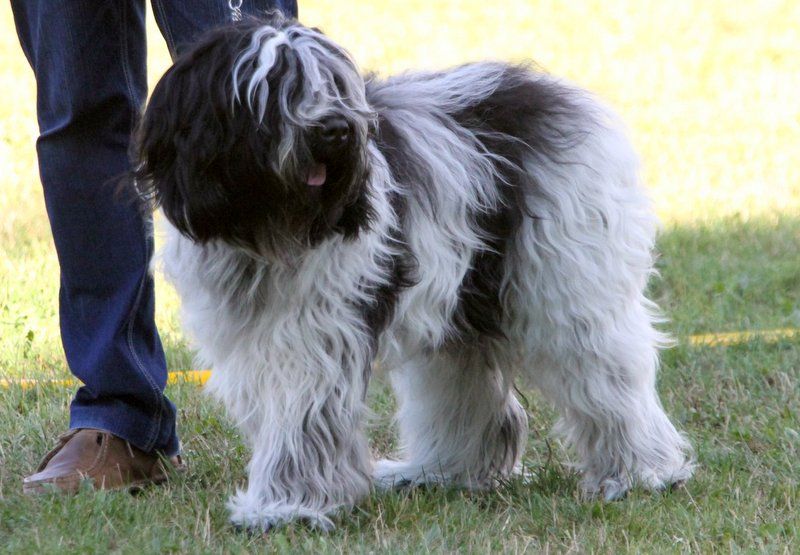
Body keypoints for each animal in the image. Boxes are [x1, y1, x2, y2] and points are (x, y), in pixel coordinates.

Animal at [135, 15, 693, 531]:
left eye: (334, 84)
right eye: (273, 87)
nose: (336, 130)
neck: (270, 225)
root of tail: (556, 96)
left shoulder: (314, 337)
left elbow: (301, 419)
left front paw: (285, 506)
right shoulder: (253, 335)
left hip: (567, 284)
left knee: (606, 375)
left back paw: (643, 471)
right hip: (463, 298)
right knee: (465, 386)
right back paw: (441, 471)